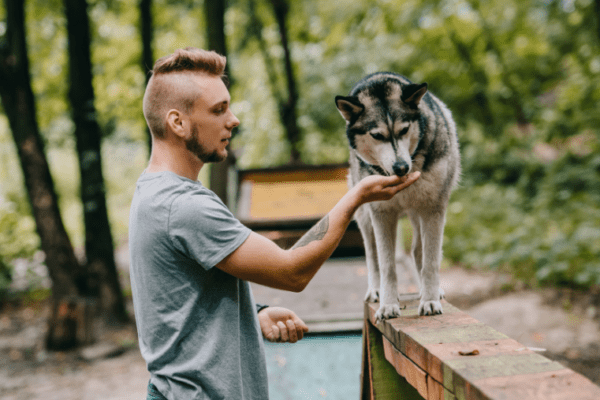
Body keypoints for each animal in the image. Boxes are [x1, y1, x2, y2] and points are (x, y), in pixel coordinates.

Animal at [336, 72, 462, 322]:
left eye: (404, 130)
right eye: (377, 135)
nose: (402, 167)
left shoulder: (433, 208)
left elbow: (430, 261)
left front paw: (430, 300)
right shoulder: (382, 214)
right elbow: (387, 265)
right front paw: (388, 305)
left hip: (419, 214)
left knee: (418, 251)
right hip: (365, 218)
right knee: (372, 256)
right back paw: (376, 291)